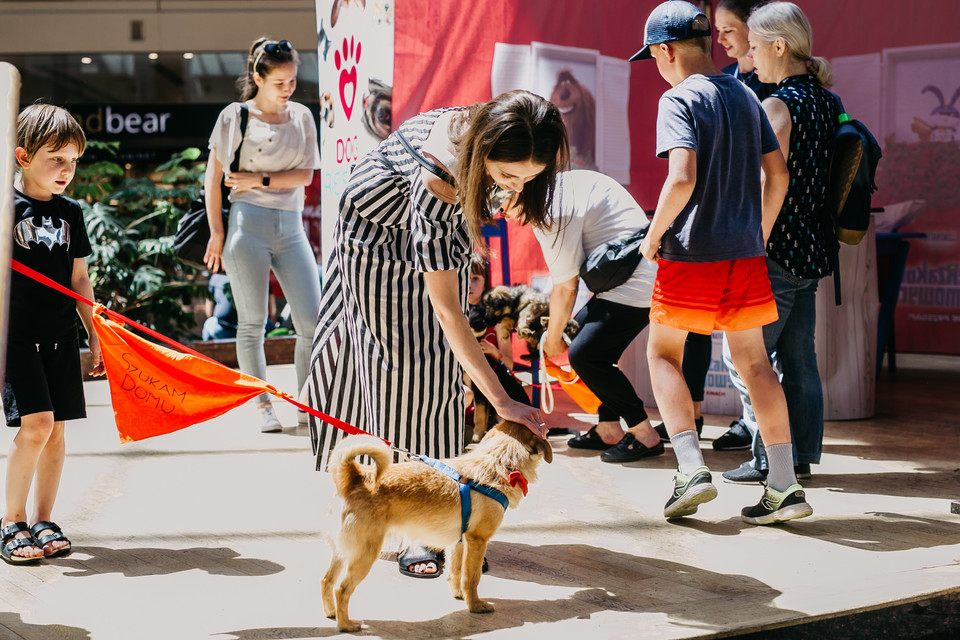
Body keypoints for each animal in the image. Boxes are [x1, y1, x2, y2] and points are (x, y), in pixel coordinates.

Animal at [320, 422, 552, 632]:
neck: (498, 463)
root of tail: (355, 478)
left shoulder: (460, 542)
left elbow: (456, 571)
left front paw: (459, 594)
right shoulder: (477, 540)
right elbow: (472, 578)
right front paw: (475, 605)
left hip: (342, 552)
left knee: (327, 581)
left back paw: (331, 613)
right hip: (365, 554)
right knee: (342, 589)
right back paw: (346, 625)